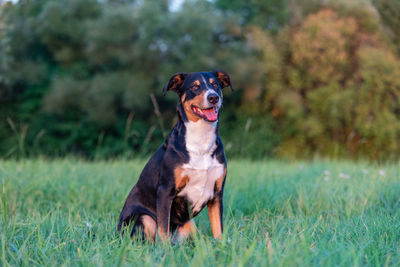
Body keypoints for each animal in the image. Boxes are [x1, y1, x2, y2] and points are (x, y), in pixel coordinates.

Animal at [117, 70, 233, 242]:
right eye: (195, 87)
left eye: (215, 85)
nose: (213, 97)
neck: (201, 142)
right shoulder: (165, 191)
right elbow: (163, 229)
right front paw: (165, 248)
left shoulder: (216, 193)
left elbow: (218, 229)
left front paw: (222, 246)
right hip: (145, 218)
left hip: (190, 225)